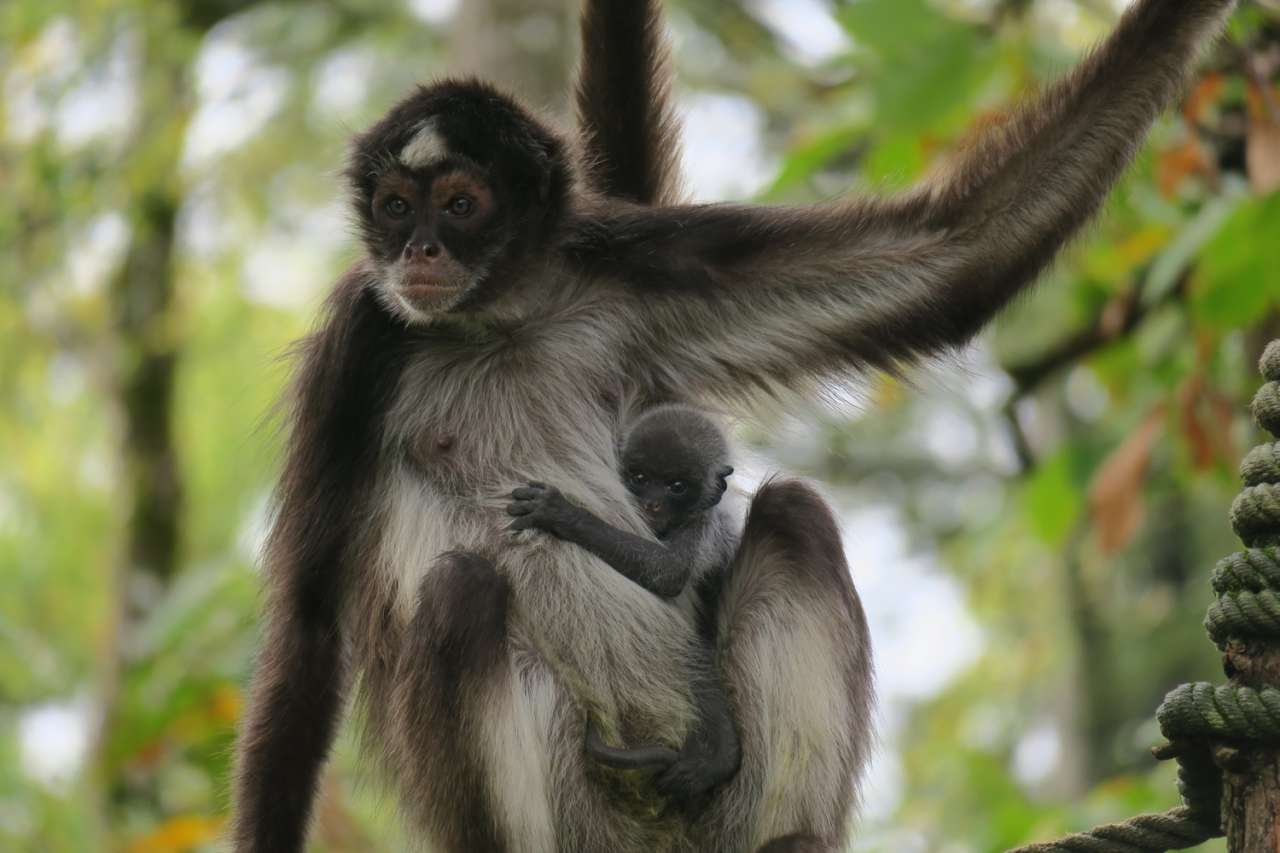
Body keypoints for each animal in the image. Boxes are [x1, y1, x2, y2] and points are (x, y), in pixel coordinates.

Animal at [506, 404, 740, 804]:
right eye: (640, 477)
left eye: (677, 486)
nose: (652, 503)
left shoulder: (700, 525)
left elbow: (667, 573)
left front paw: (562, 513)